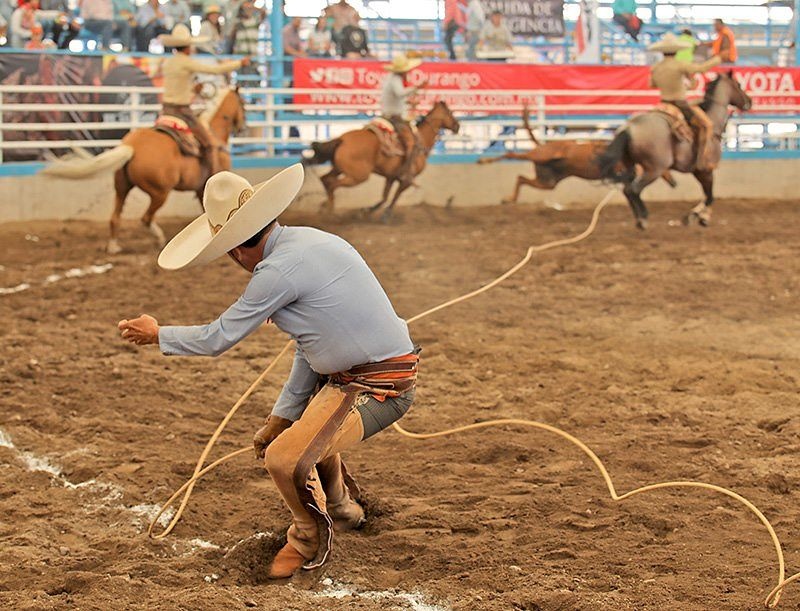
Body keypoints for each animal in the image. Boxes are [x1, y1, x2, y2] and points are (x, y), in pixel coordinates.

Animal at [40, 87, 245, 252]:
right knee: (145, 218)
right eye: (243, 103)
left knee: (115, 218)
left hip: (121, 188)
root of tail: (132, 146)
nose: (243, 127)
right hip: (159, 193)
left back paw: (113, 247)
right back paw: (159, 238)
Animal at [304, 101, 460, 222]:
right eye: (450, 112)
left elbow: (384, 197)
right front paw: (386, 214)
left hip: (339, 169)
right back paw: (330, 211)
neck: (421, 143)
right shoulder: (406, 181)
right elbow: (395, 197)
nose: (457, 126)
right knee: (331, 184)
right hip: (358, 176)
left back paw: (324, 207)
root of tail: (342, 139)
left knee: (325, 179)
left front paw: (366, 210)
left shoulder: (390, 177)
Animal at [600, 71, 752, 230]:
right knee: (633, 189)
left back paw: (639, 218)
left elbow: (707, 195)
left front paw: (697, 215)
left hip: (631, 167)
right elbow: (710, 196)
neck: (713, 121)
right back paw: (643, 218)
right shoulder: (706, 171)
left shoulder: (698, 172)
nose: (749, 101)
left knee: (627, 189)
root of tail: (629, 127)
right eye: (738, 85)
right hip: (654, 169)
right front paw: (700, 217)